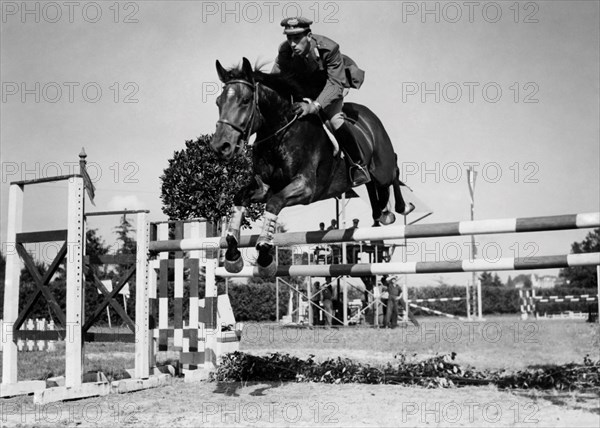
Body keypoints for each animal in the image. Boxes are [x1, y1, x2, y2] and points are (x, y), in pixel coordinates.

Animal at [211, 57, 412, 278]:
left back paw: (398, 208)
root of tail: (370, 116)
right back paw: (379, 211)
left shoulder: (305, 188)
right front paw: (232, 256)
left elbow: (273, 203)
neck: (281, 133)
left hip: (382, 167)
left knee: (393, 171)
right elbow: (240, 198)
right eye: (218, 102)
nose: (220, 146)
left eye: (245, 100)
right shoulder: (263, 187)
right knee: (372, 184)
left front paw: (265, 258)